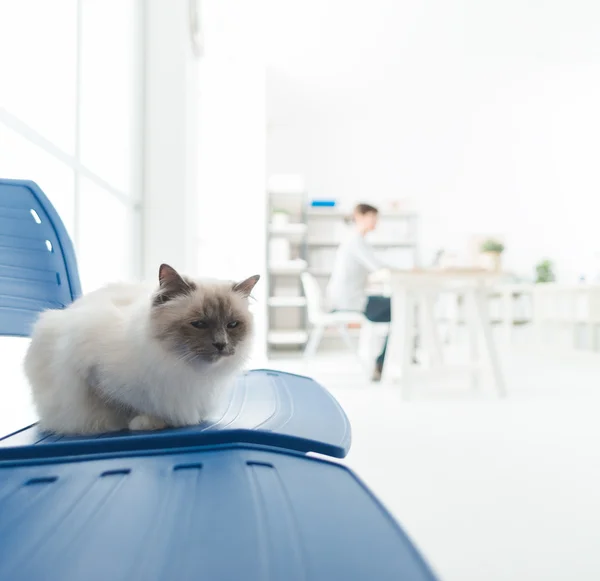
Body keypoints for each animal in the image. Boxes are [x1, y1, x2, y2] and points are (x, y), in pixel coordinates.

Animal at [24, 266, 258, 432]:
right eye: (199, 324)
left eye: (232, 325)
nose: (221, 344)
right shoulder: (93, 375)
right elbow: (124, 406)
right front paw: (146, 422)